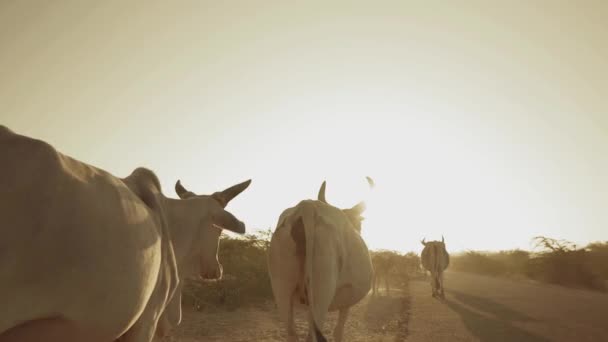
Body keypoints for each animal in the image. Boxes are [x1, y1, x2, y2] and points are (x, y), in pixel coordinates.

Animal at [268, 180, 372, 340]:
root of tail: (307, 206)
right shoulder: (346, 302)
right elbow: (338, 331)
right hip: (321, 294)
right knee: (313, 335)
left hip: (282, 290)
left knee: (292, 332)